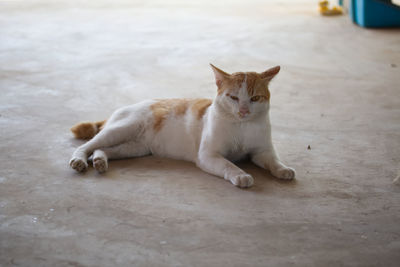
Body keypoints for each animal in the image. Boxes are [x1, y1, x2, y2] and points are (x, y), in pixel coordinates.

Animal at [69, 64, 296, 188]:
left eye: (255, 98)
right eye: (233, 97)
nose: (243, 111)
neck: (242, 127)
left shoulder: (261, 152)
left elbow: (274, 161)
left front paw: (283, 170)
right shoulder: (208, 155)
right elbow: (228, 165)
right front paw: (241, 175)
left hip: (134, 147)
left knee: (101, 149)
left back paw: (99, 161)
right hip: (120, 130)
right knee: (87, 146)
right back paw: (79, 161)